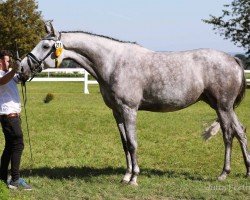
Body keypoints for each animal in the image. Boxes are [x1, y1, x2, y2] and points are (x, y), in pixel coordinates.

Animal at [20, 22, 250, 185]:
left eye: (45, 45)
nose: (22, 68)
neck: (113, 63)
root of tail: (233, 60)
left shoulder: (129, 110)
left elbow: (132, 143)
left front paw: (134, 178)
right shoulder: (117, 112)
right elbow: (124, 144)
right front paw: (125, 176)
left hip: (223, 106)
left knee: (229, 135)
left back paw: (223, 174)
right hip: (222, 107)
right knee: (240, 131)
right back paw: (247, 171)